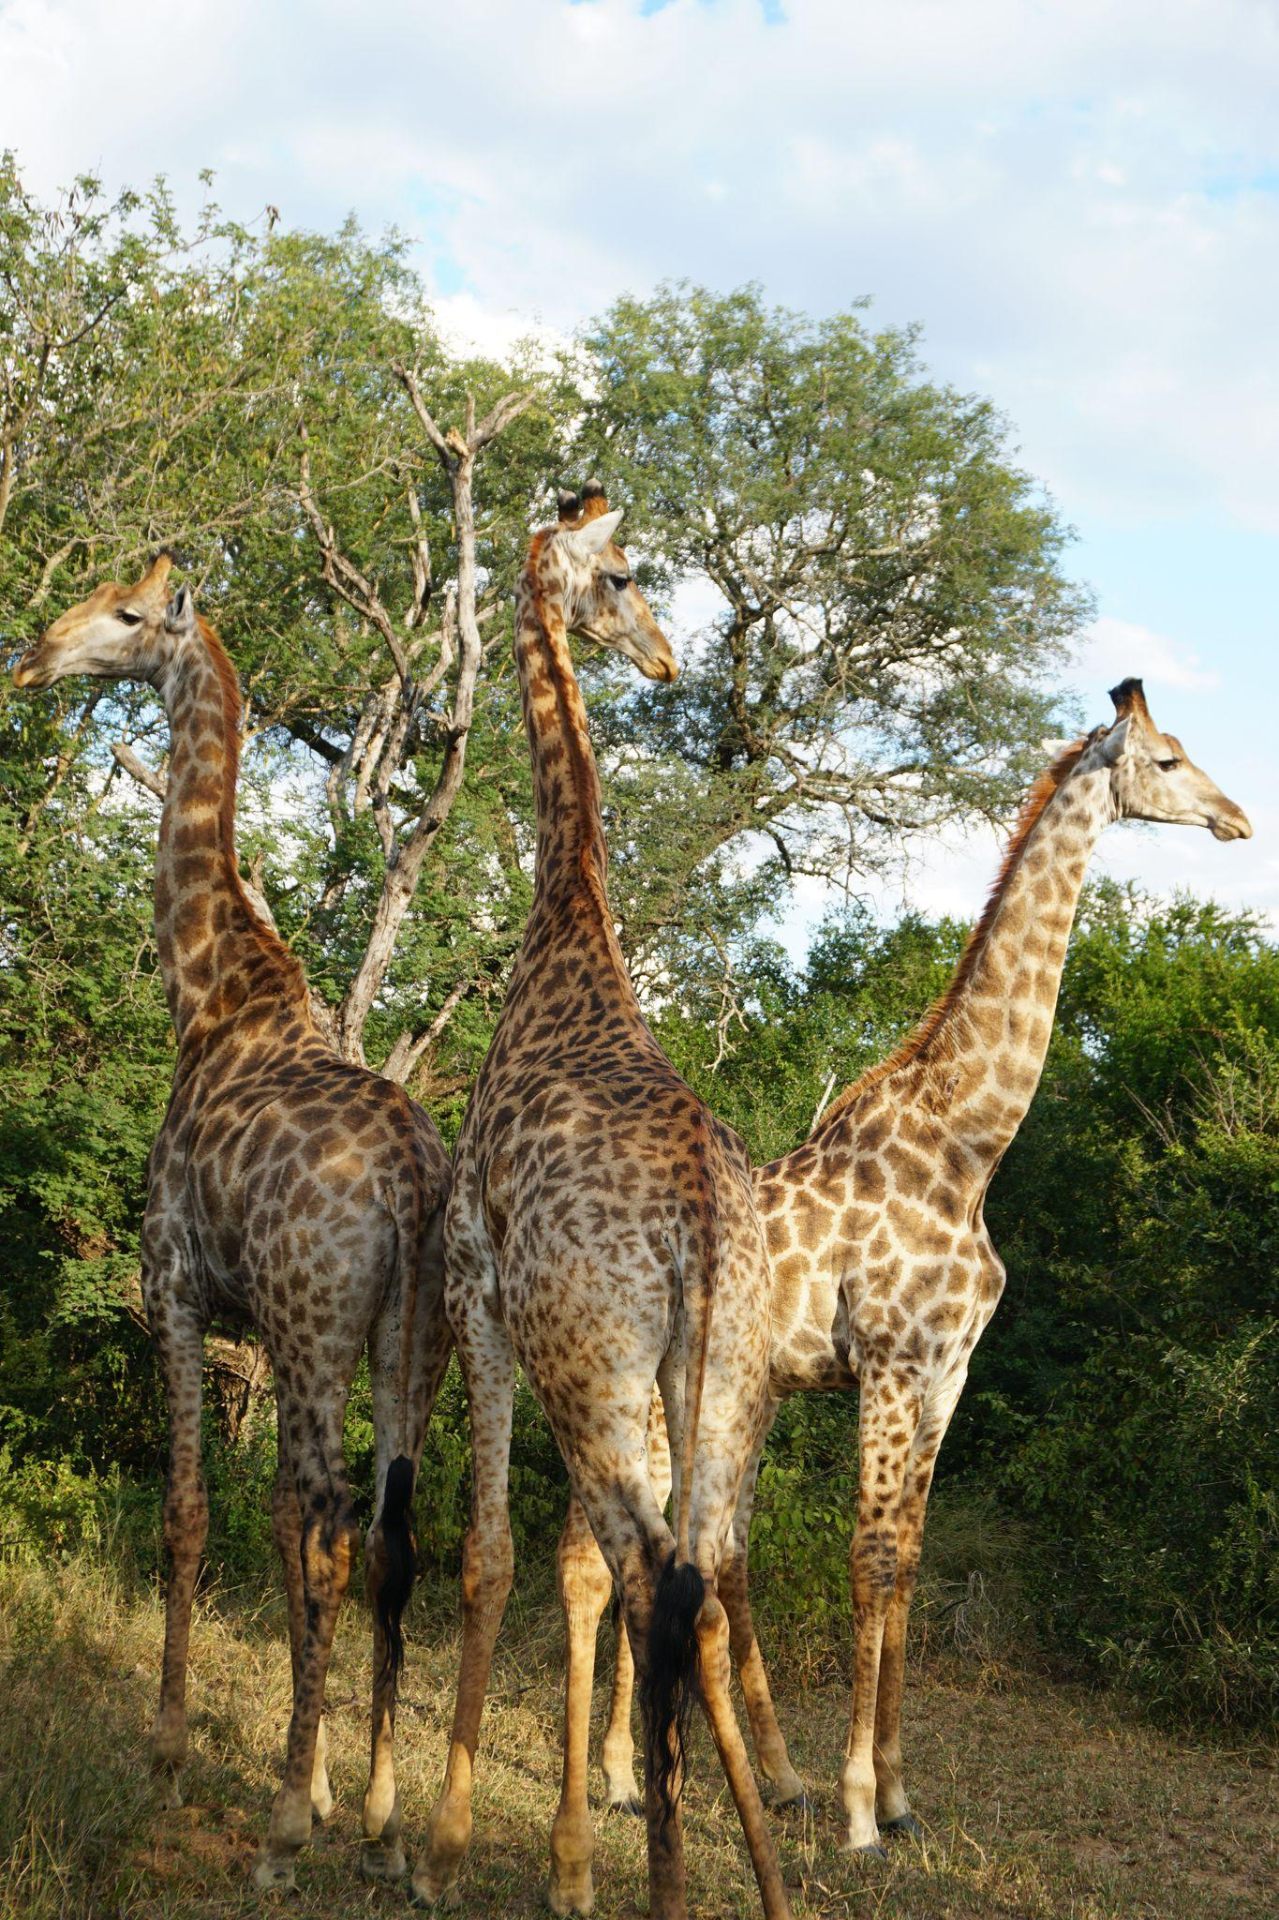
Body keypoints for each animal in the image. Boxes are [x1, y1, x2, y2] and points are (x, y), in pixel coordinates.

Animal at [13, 557, 454, 1894]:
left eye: (124, 614)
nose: (30, 656)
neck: (206, 993)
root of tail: (411, 1184)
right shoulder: (254, 1329)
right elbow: (279, 1535)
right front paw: (320, 1780)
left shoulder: (173, 1287)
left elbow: (191, 1512)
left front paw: (168, 1753)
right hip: (416, 1346)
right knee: (389, 1537)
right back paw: (382, 1823)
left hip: (320, 1330)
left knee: (331, 1517)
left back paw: (283, 1830)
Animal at [408, 486, 790, 1920]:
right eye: (622, 575)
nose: (666, 660)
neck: (568, 935)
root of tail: (698, 1225)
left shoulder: (475, 1284)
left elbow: (493, 1557)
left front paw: (448, 1843)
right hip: (715, 1384)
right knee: (702, 1581)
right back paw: (763, 1882)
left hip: (591, 1366)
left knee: (645, 1583)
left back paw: (663, 1881)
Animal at [553, 676, 1252, 1863]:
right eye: (1165, 760)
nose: (1237, 819)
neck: (966, 1152)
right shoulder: (886, 1364)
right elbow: (870, 1557)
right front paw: (855, 1812)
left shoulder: (947, 1373)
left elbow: (913, 1559)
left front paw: (895, 1789)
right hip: (637, 1389)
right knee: (594, 1561)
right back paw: (616, 1785)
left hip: (713, 1398)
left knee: (666, 1555)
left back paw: (645, 1777)